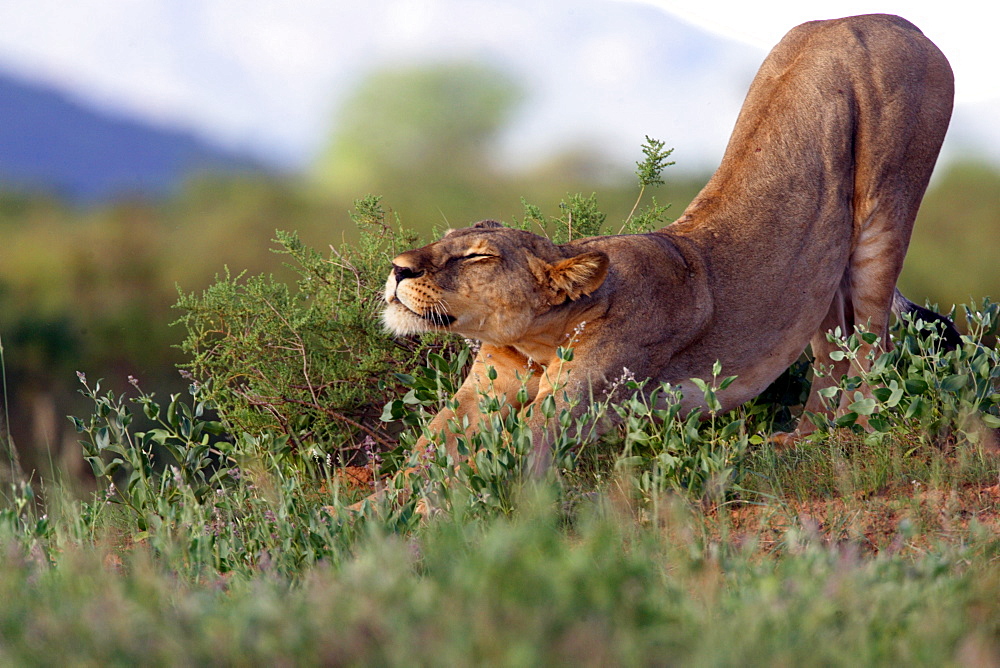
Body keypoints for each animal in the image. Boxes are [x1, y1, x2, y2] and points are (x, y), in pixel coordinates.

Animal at [380, 11, 952, 470]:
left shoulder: (574, 407)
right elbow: (418, 461)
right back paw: (805, 437)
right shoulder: (481, 391)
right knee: (832, 345)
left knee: (873, 338)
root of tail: (892, 20)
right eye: (445, 239)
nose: (398, 267)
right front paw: (367, 517)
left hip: (885, 202)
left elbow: (485, 474)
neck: (535, 336)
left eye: (477, 256)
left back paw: (858, 431)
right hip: (818, 268)